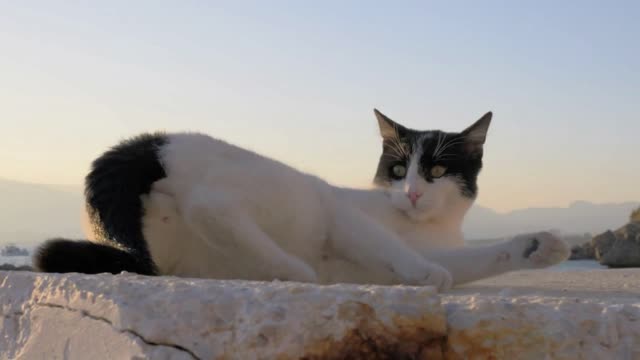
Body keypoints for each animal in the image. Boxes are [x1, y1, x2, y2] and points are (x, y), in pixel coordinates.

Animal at [33, 108, 568, 292]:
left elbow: (467, 262)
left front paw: (537, 247)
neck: (422, 225)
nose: (414, 193)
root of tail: (157, 144)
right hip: (300, 196)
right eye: (398, 171)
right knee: (210, 204)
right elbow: (396, 250)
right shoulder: (349, 216)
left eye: (436, 171)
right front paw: (424, 274)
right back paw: (294, 269)